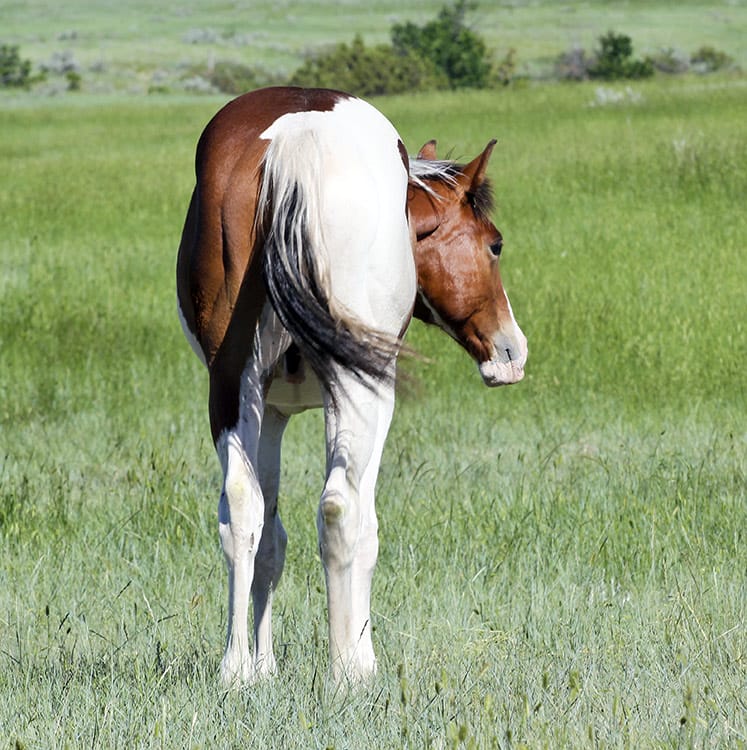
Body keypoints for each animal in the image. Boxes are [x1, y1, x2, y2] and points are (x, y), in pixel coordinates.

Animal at [176, 86, 528, 688]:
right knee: (341, 509)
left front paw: (262, 668)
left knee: (240, 510)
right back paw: (347, 671)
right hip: (363, 391)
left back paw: (234, 668)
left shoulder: (272, 412)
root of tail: (294, 143)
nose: (512, 352)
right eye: (495, 245)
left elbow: (269, 539)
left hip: (232, 387)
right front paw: (358, 657)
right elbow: (360, 524)